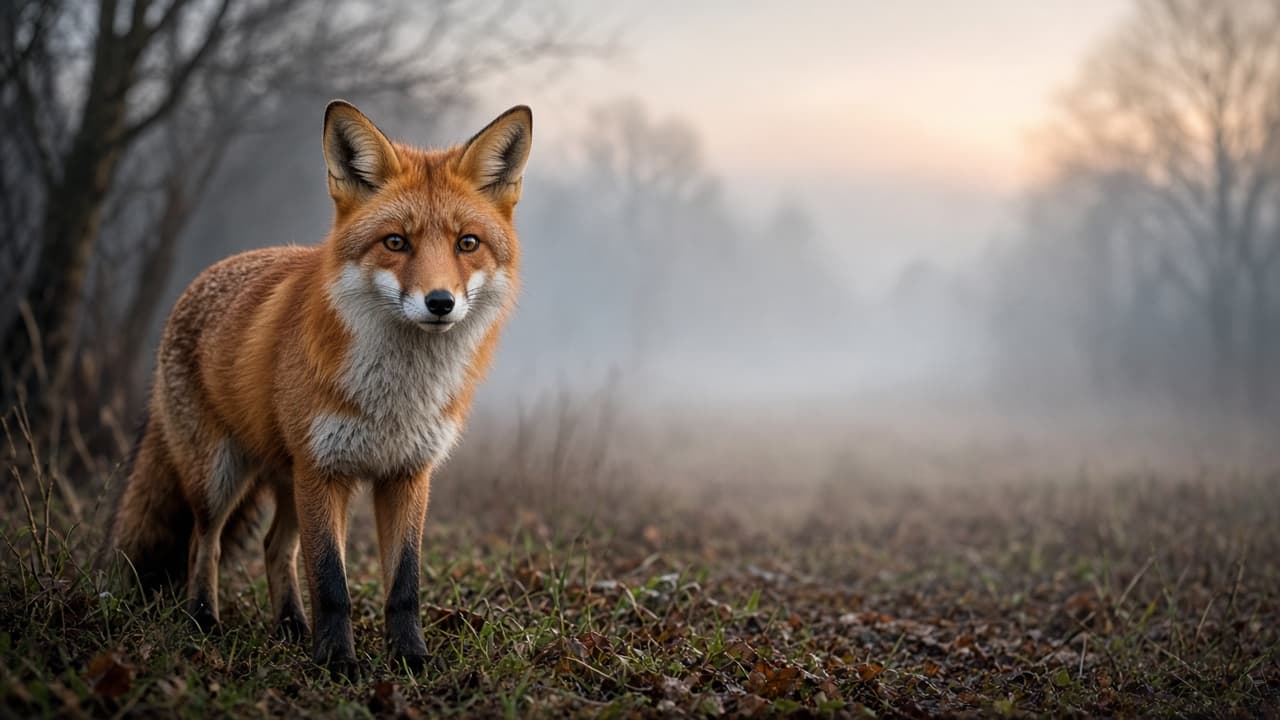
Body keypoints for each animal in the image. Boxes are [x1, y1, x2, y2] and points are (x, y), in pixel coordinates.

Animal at [108, 100, 531, 671]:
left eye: (468, 243)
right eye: (395, 242)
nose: (440, 302)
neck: (396, 397)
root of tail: (199, 280)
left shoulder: (407, 474)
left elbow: (405, 584)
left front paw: (410, 658)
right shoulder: (324, 470)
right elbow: (331, 582)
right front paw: (336, 663)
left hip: (288, 481)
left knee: (275, 547)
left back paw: (290, 626)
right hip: (220, 475)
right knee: (204, 543)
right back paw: (203, 621)